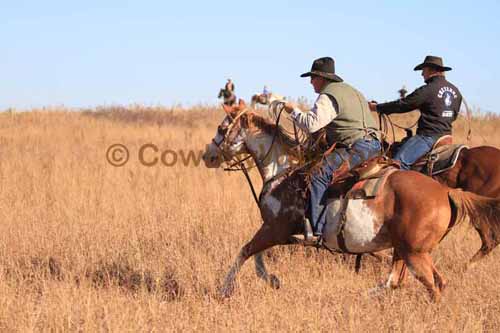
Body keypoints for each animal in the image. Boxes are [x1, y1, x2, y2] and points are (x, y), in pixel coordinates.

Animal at [201, 99, 500, 300]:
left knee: (432, 284)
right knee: (408, 280)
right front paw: (273, 280)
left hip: (413, 253)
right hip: (406, 250)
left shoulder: (275, 228)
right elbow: (257, 256)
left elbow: (245, 252)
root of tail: (446, 192)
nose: (207, 156)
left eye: (221, 127)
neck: (283, 172)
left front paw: (225, 290)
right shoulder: (280, 233)